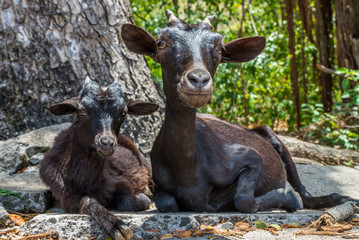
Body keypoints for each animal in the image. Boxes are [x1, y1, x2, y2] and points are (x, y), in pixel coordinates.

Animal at [38, 78, 158, 239]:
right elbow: (88, 201)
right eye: (82, 111)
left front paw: (142, 200)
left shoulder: (120, 180)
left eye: (124, 112)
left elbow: (127, 201)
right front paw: (117, 226)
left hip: (145, 162)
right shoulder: (64, 195)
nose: (107, 142)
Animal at [121, 10, 359, 214]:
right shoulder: (158, 184)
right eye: (161, 43)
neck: (189, 169)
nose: (199, 80)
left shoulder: (250, 158)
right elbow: (168, 204)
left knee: (305, 193)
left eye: (219, 47)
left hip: (272, 135)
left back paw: (343, 199)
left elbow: (243, 199)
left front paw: (287, 197)